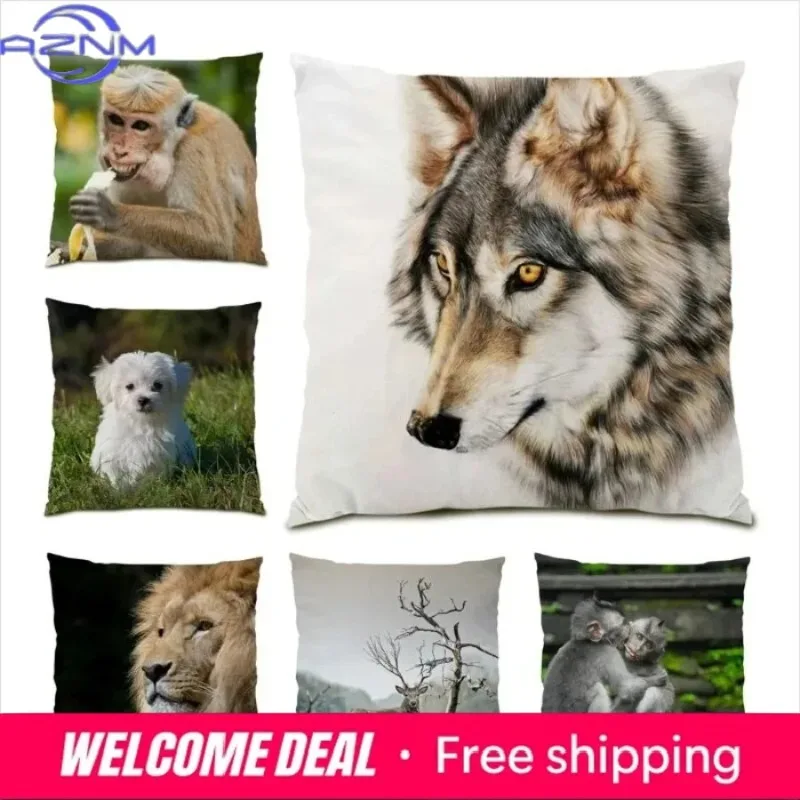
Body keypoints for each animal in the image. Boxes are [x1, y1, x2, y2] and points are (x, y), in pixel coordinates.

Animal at [56, 64, 265, 265]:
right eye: (116, 120)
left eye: (141, 126)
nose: (119, 151)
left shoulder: (196, 150)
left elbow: (214, 238)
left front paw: (109, 213)